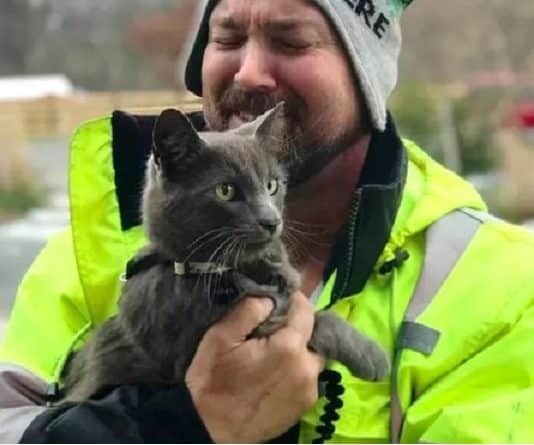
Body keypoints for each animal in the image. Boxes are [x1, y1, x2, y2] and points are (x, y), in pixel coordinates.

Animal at [62, 102, 392, 400]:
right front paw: (373, 357)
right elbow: (313, 321)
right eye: (225, 190)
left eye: (272, 185)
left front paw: (369, 351)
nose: (272, 221)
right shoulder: (191, 350)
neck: (233, 270)